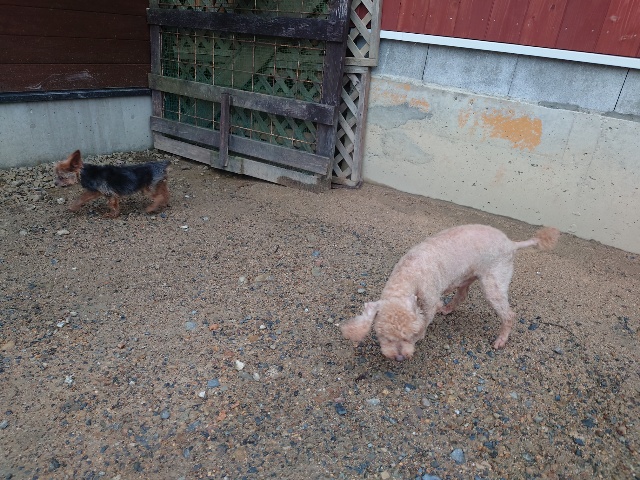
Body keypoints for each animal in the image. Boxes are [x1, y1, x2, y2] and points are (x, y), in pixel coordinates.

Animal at [341, 224, 559, 361]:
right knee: (462, 295)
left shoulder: (428, 300)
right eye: (385, 337)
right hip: (466, 276)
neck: (407, 276)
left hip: (494, 283)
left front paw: (421, 337)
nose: (400, 358)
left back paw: (500, 340)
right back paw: (447, 309)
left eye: (410, 336)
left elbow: (425, 321)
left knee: (509, 314)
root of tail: (511, 243)